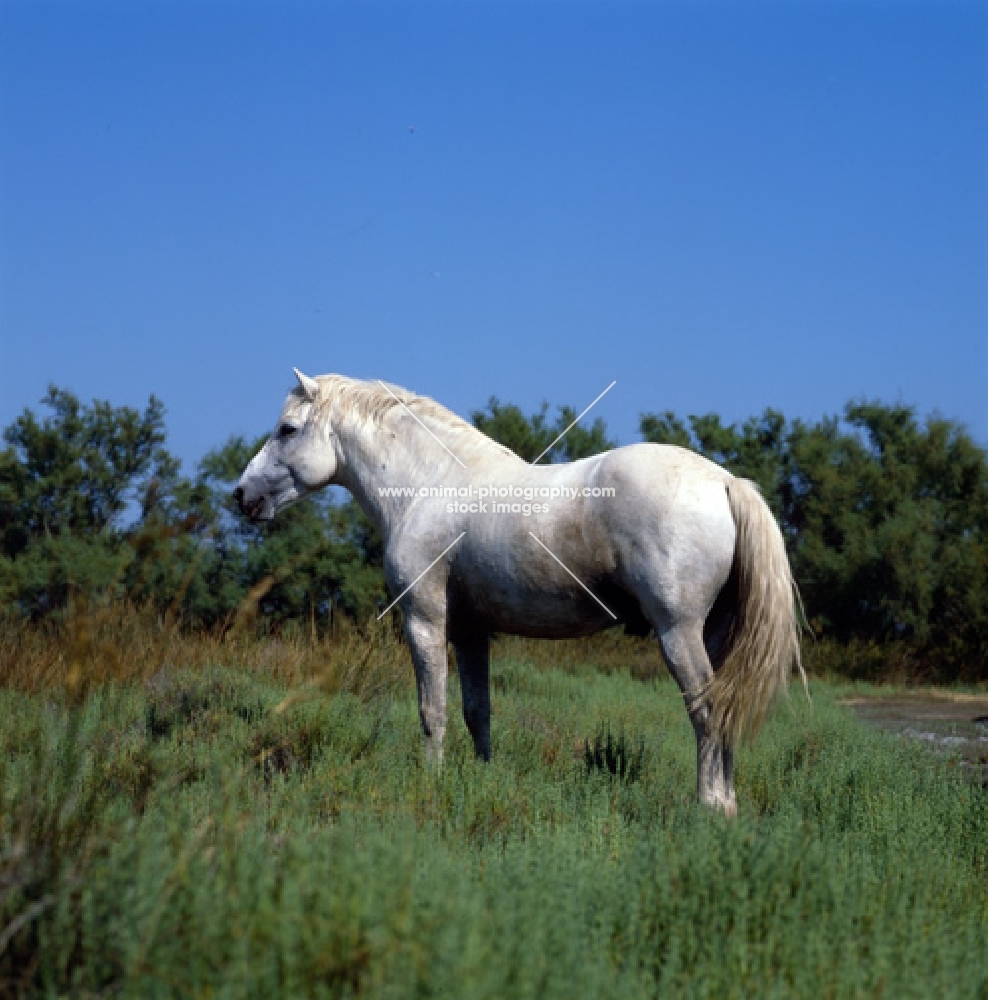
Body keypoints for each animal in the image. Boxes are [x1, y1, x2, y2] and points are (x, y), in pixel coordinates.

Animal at [237, 372, 804, 816]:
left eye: (287, 430)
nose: (243, 496)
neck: (429, 482)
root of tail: (725, 482)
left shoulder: (425, 619)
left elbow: (432, 710)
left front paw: (429, 783)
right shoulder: (470, 631)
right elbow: (477, 712)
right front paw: (482, 780)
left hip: (678, 633)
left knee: (706, 711)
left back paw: (711, 805)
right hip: (712, 634)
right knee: (725, 708)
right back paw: (727, 801)